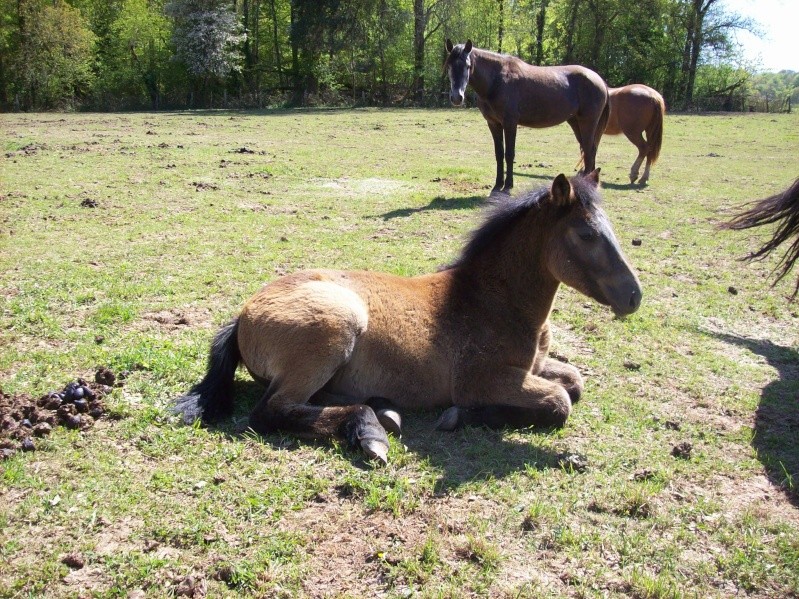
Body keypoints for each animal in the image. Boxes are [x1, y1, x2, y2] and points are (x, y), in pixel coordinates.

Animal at [172, 172, 640, 464]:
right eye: (586, 234)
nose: (634, 296)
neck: (492, 300)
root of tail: (242, 316)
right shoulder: (482, 379)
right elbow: (560, 402)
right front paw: (463, 416)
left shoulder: (535, 365)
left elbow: (574, 381)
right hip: (337, 325)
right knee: (269, 412)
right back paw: (369, 433)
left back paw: (383, 412)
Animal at [444, 39, 612, 192]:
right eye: (449, 66)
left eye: (468, 66)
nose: (457, 97)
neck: (497, 81)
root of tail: (599, 80)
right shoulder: (493, 124)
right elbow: (499, 154)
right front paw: (498, 185)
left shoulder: (510, 123)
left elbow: (509, 154)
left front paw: (508, 185)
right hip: (575, 122)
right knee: (589, 150)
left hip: (587, 123)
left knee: (589, 151)